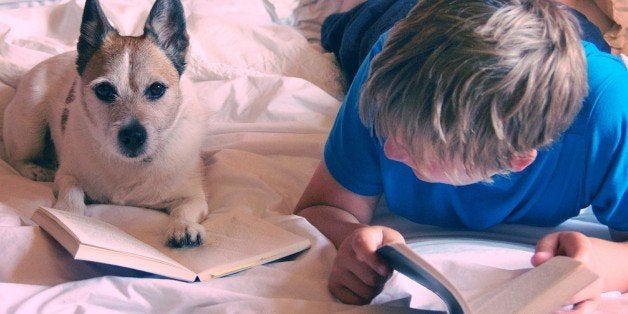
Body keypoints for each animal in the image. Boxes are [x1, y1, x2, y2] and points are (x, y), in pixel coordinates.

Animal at [2, 0, 210, 248]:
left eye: (157, 89)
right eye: (104, 90)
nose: (133, 135)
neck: (129, 165)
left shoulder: (194, 197)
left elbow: (185, 209)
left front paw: (183, 226)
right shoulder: (67, 176)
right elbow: (71, 191)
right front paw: (68, 214)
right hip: (29, 125)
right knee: (12, 156)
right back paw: (35, 169)